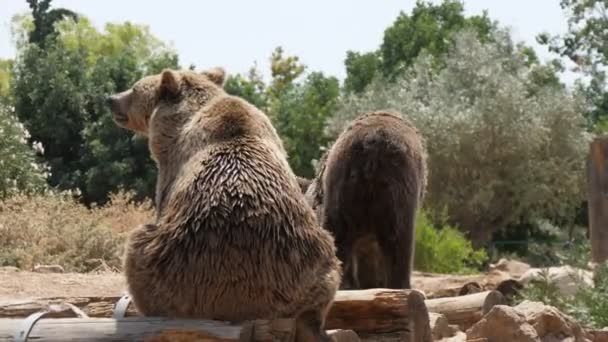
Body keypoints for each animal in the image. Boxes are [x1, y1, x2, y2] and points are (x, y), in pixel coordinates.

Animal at [105, 67, 342, 342]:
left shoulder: (170, 160)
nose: (110, 99)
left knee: (138, 245)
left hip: (177, 271)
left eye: (133, 89)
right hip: (317, 265)